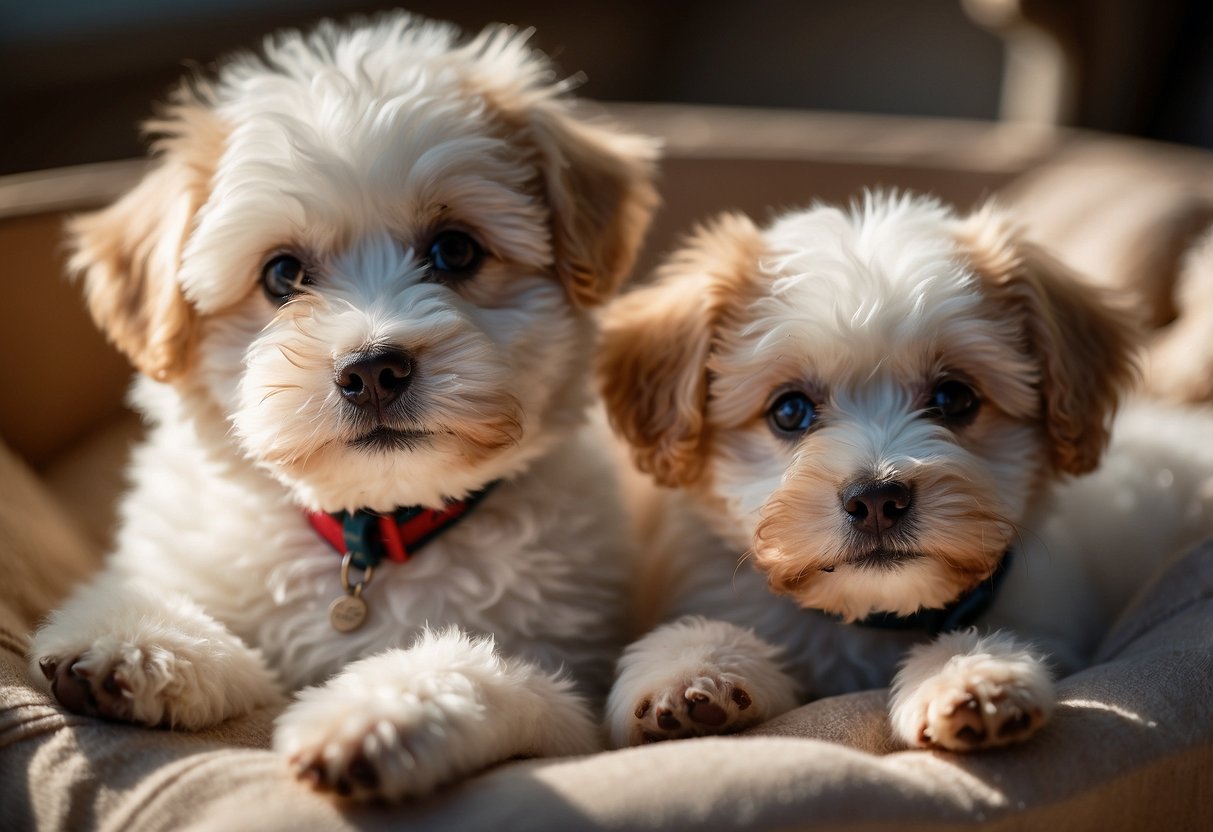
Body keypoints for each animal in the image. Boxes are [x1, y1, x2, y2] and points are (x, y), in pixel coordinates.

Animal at [28, 13, 655, 800]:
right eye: (282, 273)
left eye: (454, 250)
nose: (374, 369)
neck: (372, 537)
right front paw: (139, 642)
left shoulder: (572, 701)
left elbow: (481, 670)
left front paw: (377, 716)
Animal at [601, 197, 1213, 756]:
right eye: (789, 410)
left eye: (955, 398)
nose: (877, 498)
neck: (871, 618)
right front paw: (692, 672)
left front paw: (969, 676)